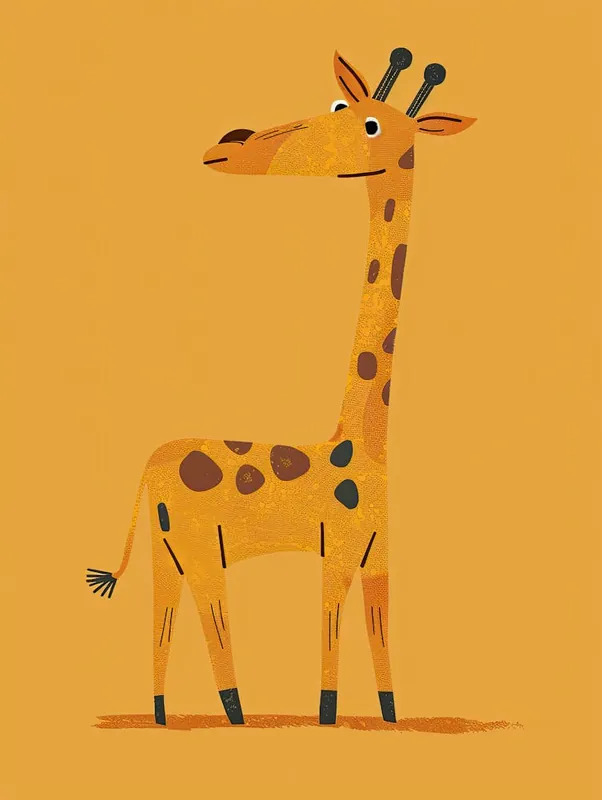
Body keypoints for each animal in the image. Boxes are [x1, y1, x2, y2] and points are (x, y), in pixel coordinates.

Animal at [88, 47, 476, 727]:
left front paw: (389, 716)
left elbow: (380, 640)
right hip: (199, 545)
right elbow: (331, 635)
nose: (230, 142)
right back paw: (235, 715)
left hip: (169, 550)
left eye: (370, 124)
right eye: (338, 104)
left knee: (163, 616)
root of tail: (147, 467)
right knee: (209, 618)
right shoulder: (338, 550)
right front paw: (325, 716)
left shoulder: (377, 558)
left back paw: (164, 713)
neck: (363, 443)